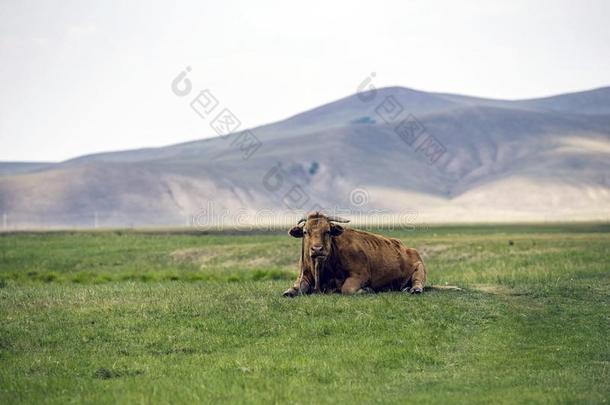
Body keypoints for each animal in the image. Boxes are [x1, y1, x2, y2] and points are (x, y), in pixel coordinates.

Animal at [282, 211, 426, 296]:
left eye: (327, 231)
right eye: (305, 231)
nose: (317, 249)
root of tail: (407, 248)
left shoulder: (360, 275)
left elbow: (347, 289)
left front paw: (366, 289)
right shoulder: (303, 275)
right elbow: (296, 288)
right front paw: (289, 291)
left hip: (419, 268)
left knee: (417, 281)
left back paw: (414, 289)